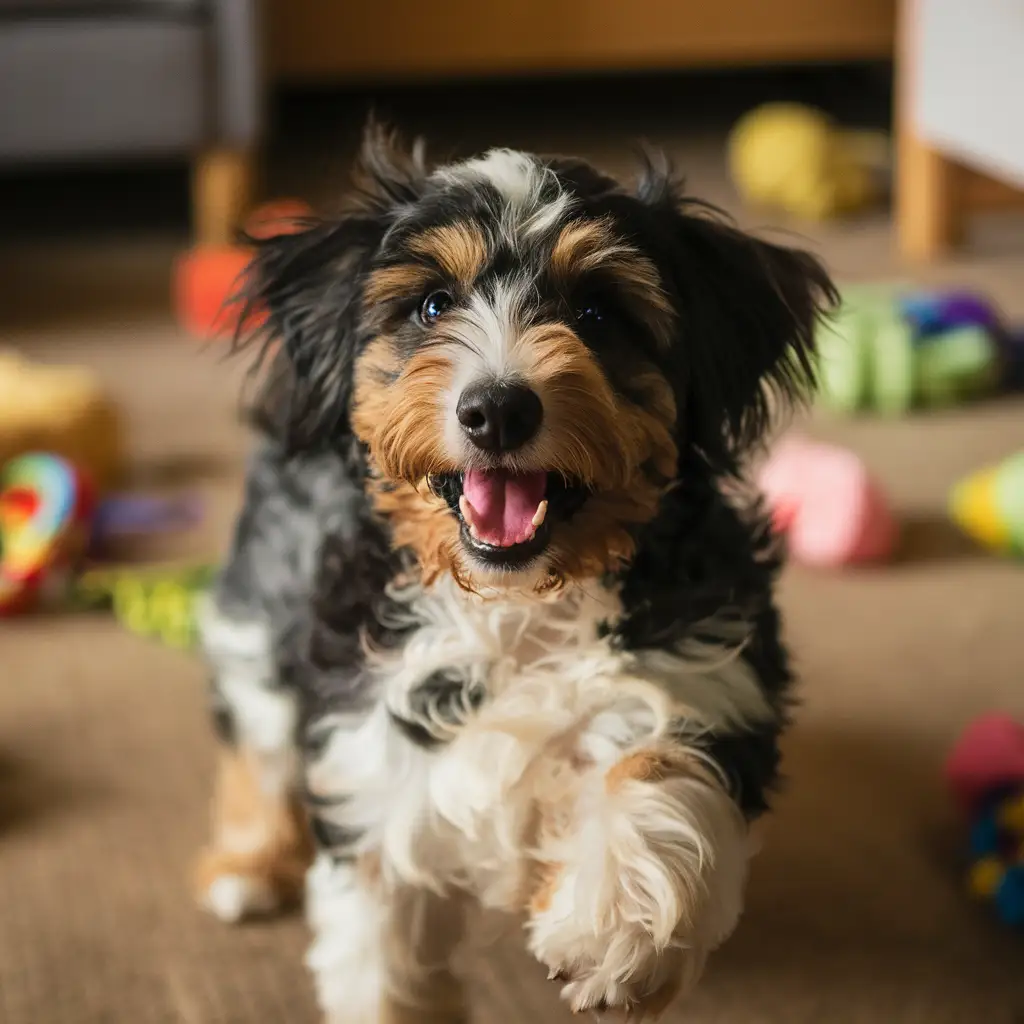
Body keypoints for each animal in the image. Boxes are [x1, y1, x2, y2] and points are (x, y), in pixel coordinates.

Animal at [195, 123, 835, 1019]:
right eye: (433, 306)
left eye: (598, 312)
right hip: (261, 605)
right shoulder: (370, 768)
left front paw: (609, 926)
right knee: (255, 739)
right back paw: (245, 869)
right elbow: (381, 966)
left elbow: (657, 765)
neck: (519, 604)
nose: (497, 408)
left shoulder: (708, 672)